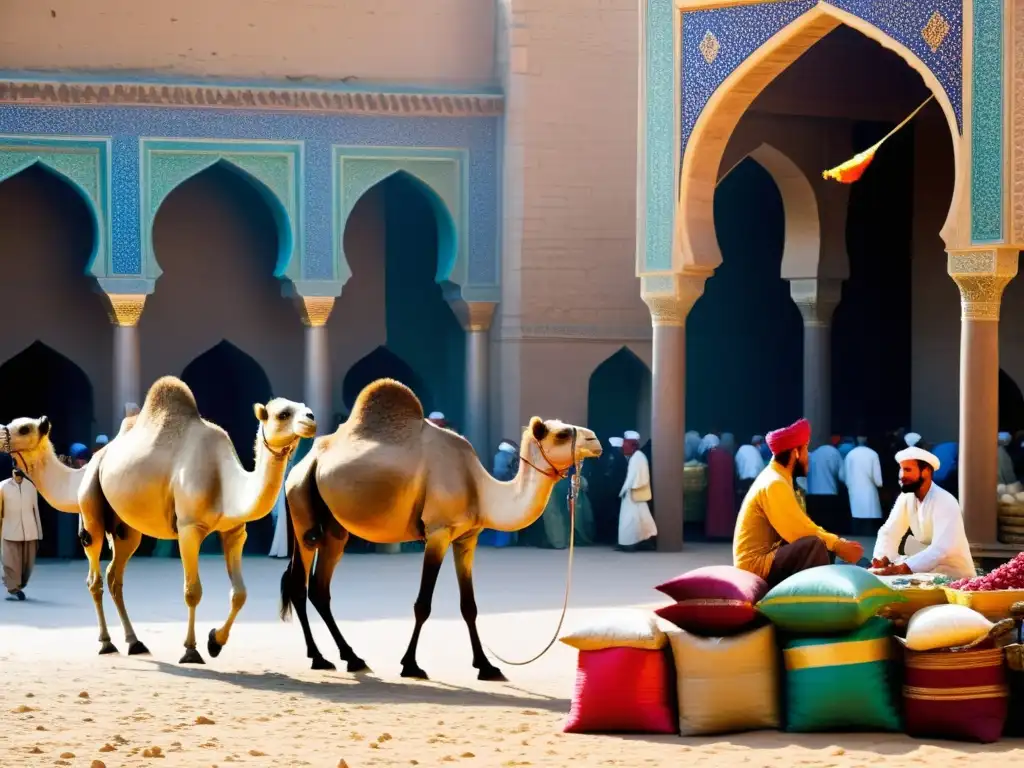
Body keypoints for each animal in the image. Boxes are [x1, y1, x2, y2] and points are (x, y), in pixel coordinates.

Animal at [75, 376, 313, 663]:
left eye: (304, 407)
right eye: (283, 413)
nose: (311, 419)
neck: (226, 482)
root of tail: (101, 453)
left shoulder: (235, 530)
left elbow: (240, 594)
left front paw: (214, 642)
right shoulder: (189, 527)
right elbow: (193, 591)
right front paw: (191, 650)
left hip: (127, 528)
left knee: (114, 576)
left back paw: (134, 642)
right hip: (91, 501)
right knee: (94, 575)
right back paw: (106, 643)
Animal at [278, 378, 598, 679]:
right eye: (562, 434)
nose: (595, 440)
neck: (480, 488)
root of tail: (303, 463)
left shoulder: (466, 538)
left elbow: (470, 606)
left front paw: (486, 666)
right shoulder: (438, 532)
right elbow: (423, 604)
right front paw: (410, 665)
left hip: (334, 527)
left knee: (320, 588)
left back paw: (352, 657)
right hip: (301, 506)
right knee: (298, 584)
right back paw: (319, 658)